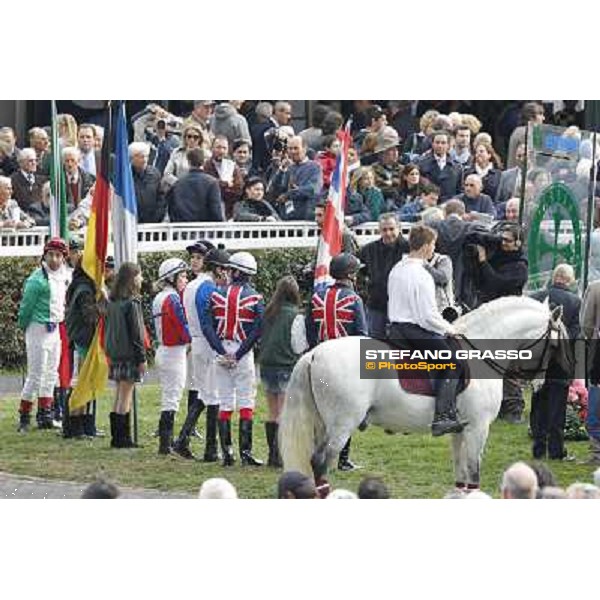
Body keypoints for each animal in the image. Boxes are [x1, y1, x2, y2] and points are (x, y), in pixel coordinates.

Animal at [278, 296, 568, 492]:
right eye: (554, 344)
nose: (540, 384)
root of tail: (314, 353)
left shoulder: (460, 430)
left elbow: (461, 475)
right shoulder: (478, 428)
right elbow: (474, 474)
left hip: (322, 424)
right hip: (341, 425)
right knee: (319, 462)